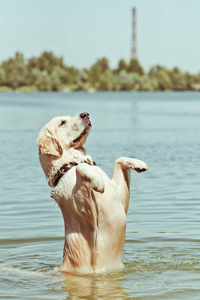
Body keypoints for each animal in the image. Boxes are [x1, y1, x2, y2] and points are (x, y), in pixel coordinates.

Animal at [36, 111, 148, 274]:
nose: (85, 114)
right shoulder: (85, 212)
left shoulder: (120, 199)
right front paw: (97, 181)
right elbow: (81, 168)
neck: (69, 163)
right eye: (62, 122)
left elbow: (118, 159)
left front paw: (139, 163)